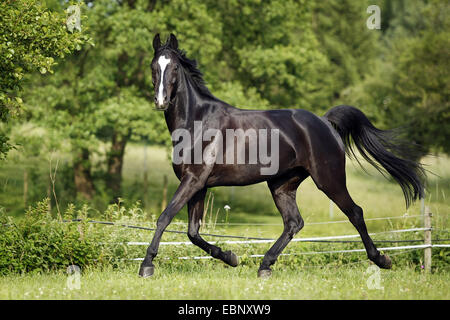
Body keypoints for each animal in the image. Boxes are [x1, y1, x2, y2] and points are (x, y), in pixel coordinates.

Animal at [138, 33, 426, 278]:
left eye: (174, 67)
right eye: (153, 67)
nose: (161, 101)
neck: (197, 121)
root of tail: (324, 121)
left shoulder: (193, 180)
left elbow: (165, 218)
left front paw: (147, 265)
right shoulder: (199, 185)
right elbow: (193, 232)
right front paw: (231, 257)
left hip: (329, 180)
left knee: (354, 212)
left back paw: (382, 259)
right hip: (282, 185)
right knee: (294, 223)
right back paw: (265, 266)